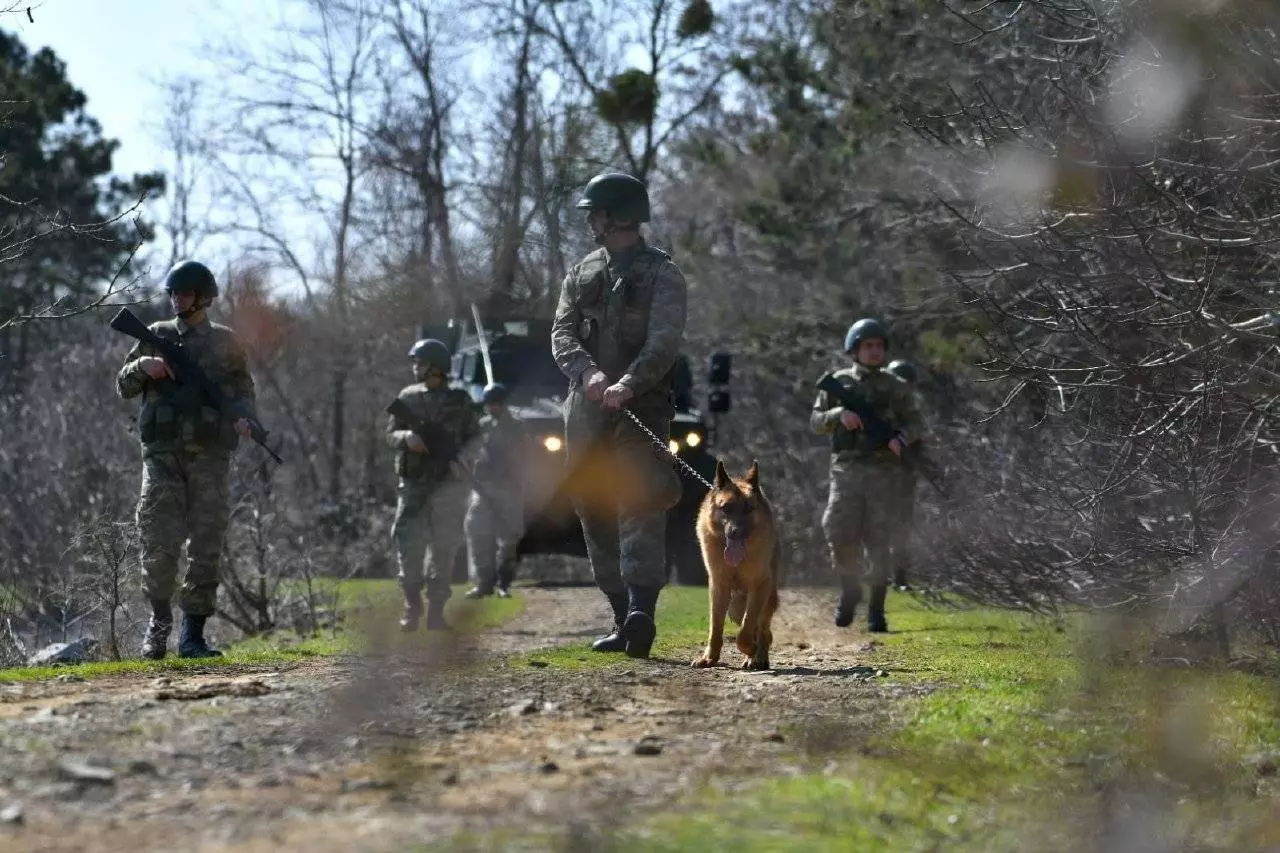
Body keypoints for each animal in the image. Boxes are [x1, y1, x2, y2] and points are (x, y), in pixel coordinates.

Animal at [691, 458, 778, 671]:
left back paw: (758, 657)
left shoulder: (759, 585)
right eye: (726, 508)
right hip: (736, 606)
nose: (736, 532)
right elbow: (715, 627)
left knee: (763, 630)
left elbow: (746, 631)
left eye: (748, 509)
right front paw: (709, 658)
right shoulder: (718, 586)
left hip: (764, 598)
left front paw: (751, 649)